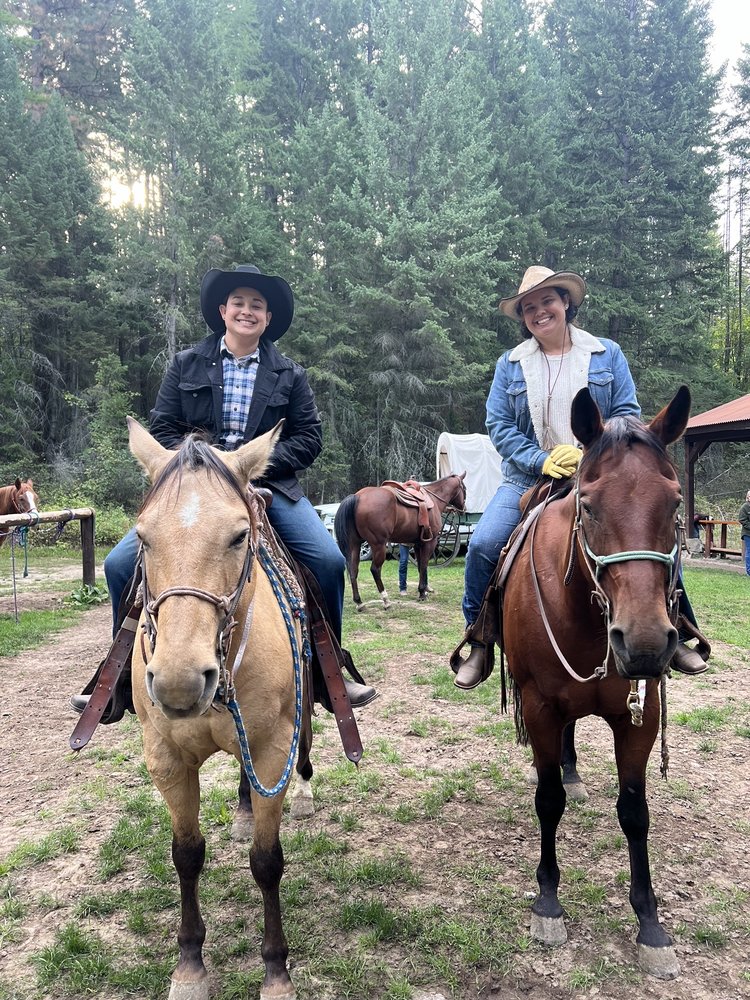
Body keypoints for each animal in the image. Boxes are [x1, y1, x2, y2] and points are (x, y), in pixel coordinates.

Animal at [126, 417, 312, 1000]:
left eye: (237, 536)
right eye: (142, 537)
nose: (180, 683)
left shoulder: (272, 749)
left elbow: (267, 862)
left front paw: (276, 971)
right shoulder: (165, 759)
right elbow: (186, 854)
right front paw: (189, 966)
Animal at [334, 472, 466, 609]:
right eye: (465, 489)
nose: (463, 508)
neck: (433, 500)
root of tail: (357, 497)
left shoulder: (418, 544)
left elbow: (420, 567)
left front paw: (423, 591)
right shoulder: (430, 542)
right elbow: (424, 565)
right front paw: (422, 592)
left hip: (355, 544)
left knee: (353, 569)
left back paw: (359, 602)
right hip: (378, 545)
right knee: (375, 570)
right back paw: (386, 600)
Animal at [502, 385, 691, 980]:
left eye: (675, 504)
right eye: (588, 506)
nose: (647, 642)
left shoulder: (640, 715)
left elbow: (635, 813)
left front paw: (651, 925)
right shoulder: (539, 706)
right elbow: (548, 800)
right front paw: (547, 903)